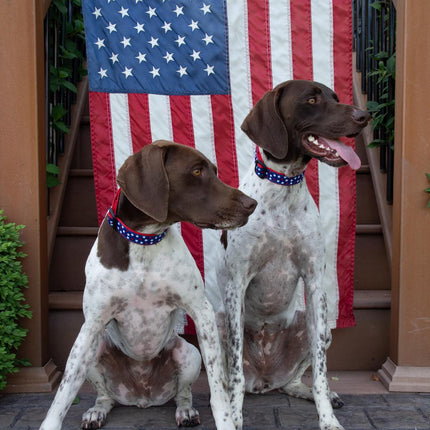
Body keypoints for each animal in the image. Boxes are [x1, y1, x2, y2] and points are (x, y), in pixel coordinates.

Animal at [38, 141, 256, 430]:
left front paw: (226, 421)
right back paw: (97, 411)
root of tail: (143, 397)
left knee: (183, 393)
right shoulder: (92, 325)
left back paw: (186, 412)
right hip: (96, 352)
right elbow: (62, 393)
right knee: (105, 395)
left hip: (188, 354)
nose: (252, 204)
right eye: (197, 171)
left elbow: (218, 390)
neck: (144, 240)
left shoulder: (202, 313)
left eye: (214, 170)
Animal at [208, 80, 370, 430]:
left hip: (318, 329)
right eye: (311, 100)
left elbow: (322, 374)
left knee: (295, 380)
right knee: (233, 377)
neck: (283, 190)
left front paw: (328, 419)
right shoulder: (236, 285)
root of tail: (265, 379)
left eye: (335, 97)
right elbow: (235, 376)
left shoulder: (315, 282)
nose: (364, 116)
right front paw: (235, 418)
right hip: (219, 323)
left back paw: (310, 392)